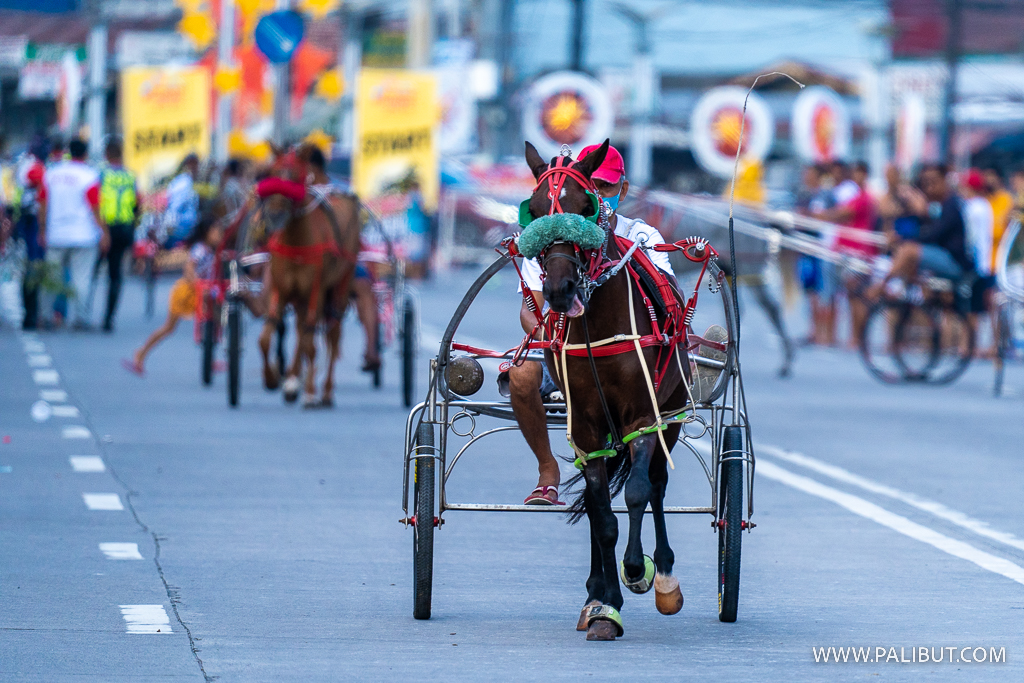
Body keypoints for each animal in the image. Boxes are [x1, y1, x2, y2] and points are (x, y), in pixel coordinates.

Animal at [254, 143, 362, 407]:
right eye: (272, 172)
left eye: (294, 176)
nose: (274, 215)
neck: (297, 241)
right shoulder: (281, 289)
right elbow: (266, 337)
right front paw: (272, 378)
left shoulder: (316, 288)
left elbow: (311, 342)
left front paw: (310, 392)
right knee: (302, 329)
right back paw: (292, 381)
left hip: (342, 282)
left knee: (331, 332)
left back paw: (325, 391)